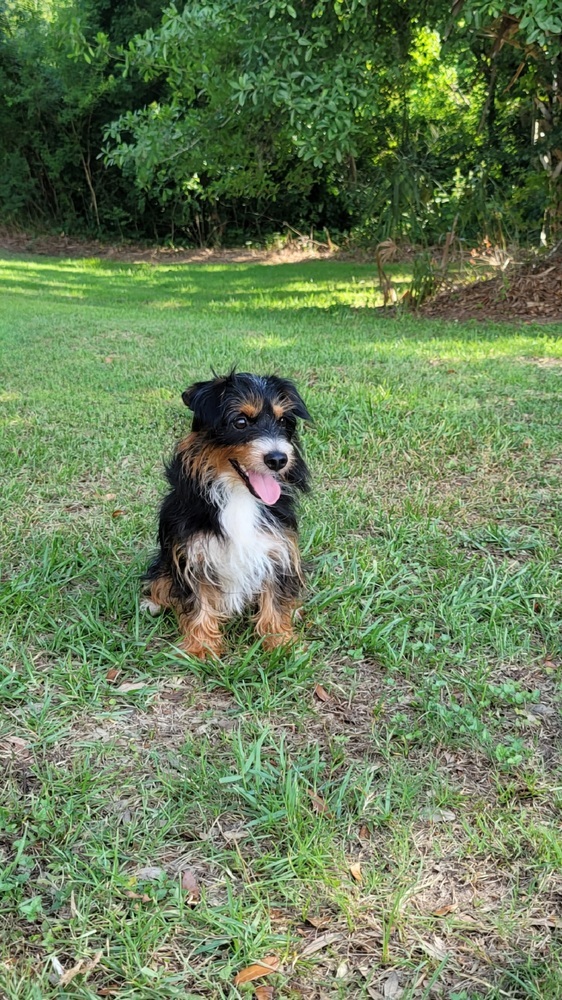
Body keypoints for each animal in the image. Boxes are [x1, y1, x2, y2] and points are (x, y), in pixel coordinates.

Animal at [142, 372, 310, 660]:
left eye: (283, 421)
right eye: (240, 422)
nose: (279, 459)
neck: (238, 493)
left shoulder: (277, 549)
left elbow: (275, 598)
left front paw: (279, 641)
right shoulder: (189, 554)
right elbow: (197, 602)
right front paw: (202, 647)